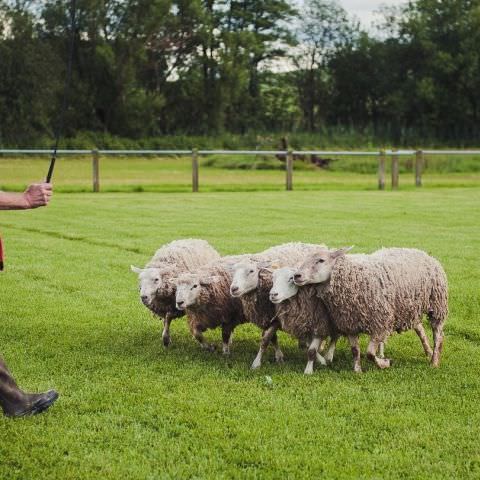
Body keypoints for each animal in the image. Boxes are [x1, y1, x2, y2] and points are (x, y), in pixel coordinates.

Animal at [228, 242, 326, 370]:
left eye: (251, 271)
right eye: (233, 272)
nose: (233, 289)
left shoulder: (277, 317)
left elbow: (266, 339)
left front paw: (256, 362)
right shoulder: (268, 317)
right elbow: (271, 338)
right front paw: (278, 356)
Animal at [294, 248, 448, 372]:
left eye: (321, 260)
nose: (297, 276)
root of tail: (424, 253)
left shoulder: (380, 323)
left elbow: (369, 353)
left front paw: (385, 363)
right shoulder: (350, 324)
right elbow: (355, 350)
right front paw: (357, 370)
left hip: (437, 305)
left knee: (438, 335)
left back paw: (434, 361)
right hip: (408, 307)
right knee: (420, 328)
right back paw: (428, 351)